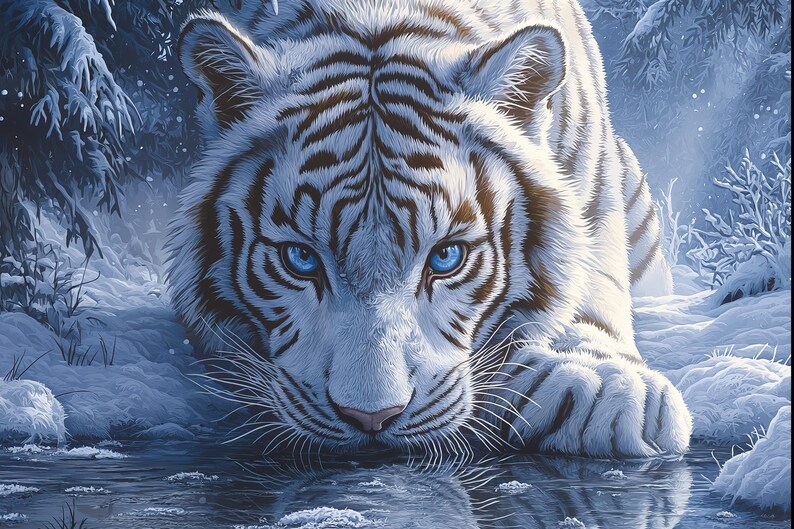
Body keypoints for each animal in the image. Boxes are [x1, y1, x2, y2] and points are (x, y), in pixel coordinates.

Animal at [167, 0, 693, 458]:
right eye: (300, 259)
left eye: (446, 257)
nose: (372, 418)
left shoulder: (594, 192)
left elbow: (592, 286)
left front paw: (604, 386)